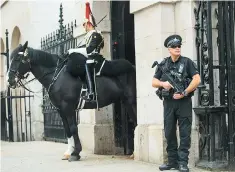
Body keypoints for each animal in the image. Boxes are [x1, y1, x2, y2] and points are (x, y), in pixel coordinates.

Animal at [7, 41, 136, 161]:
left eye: (17, 58)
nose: (9, 80)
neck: (57, 75)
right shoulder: (61, 109)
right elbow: (67, 129)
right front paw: (69, 152)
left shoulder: (68, 107)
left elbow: (73, 128)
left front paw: (75, 153)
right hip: (126, 102)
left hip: (131, 101)